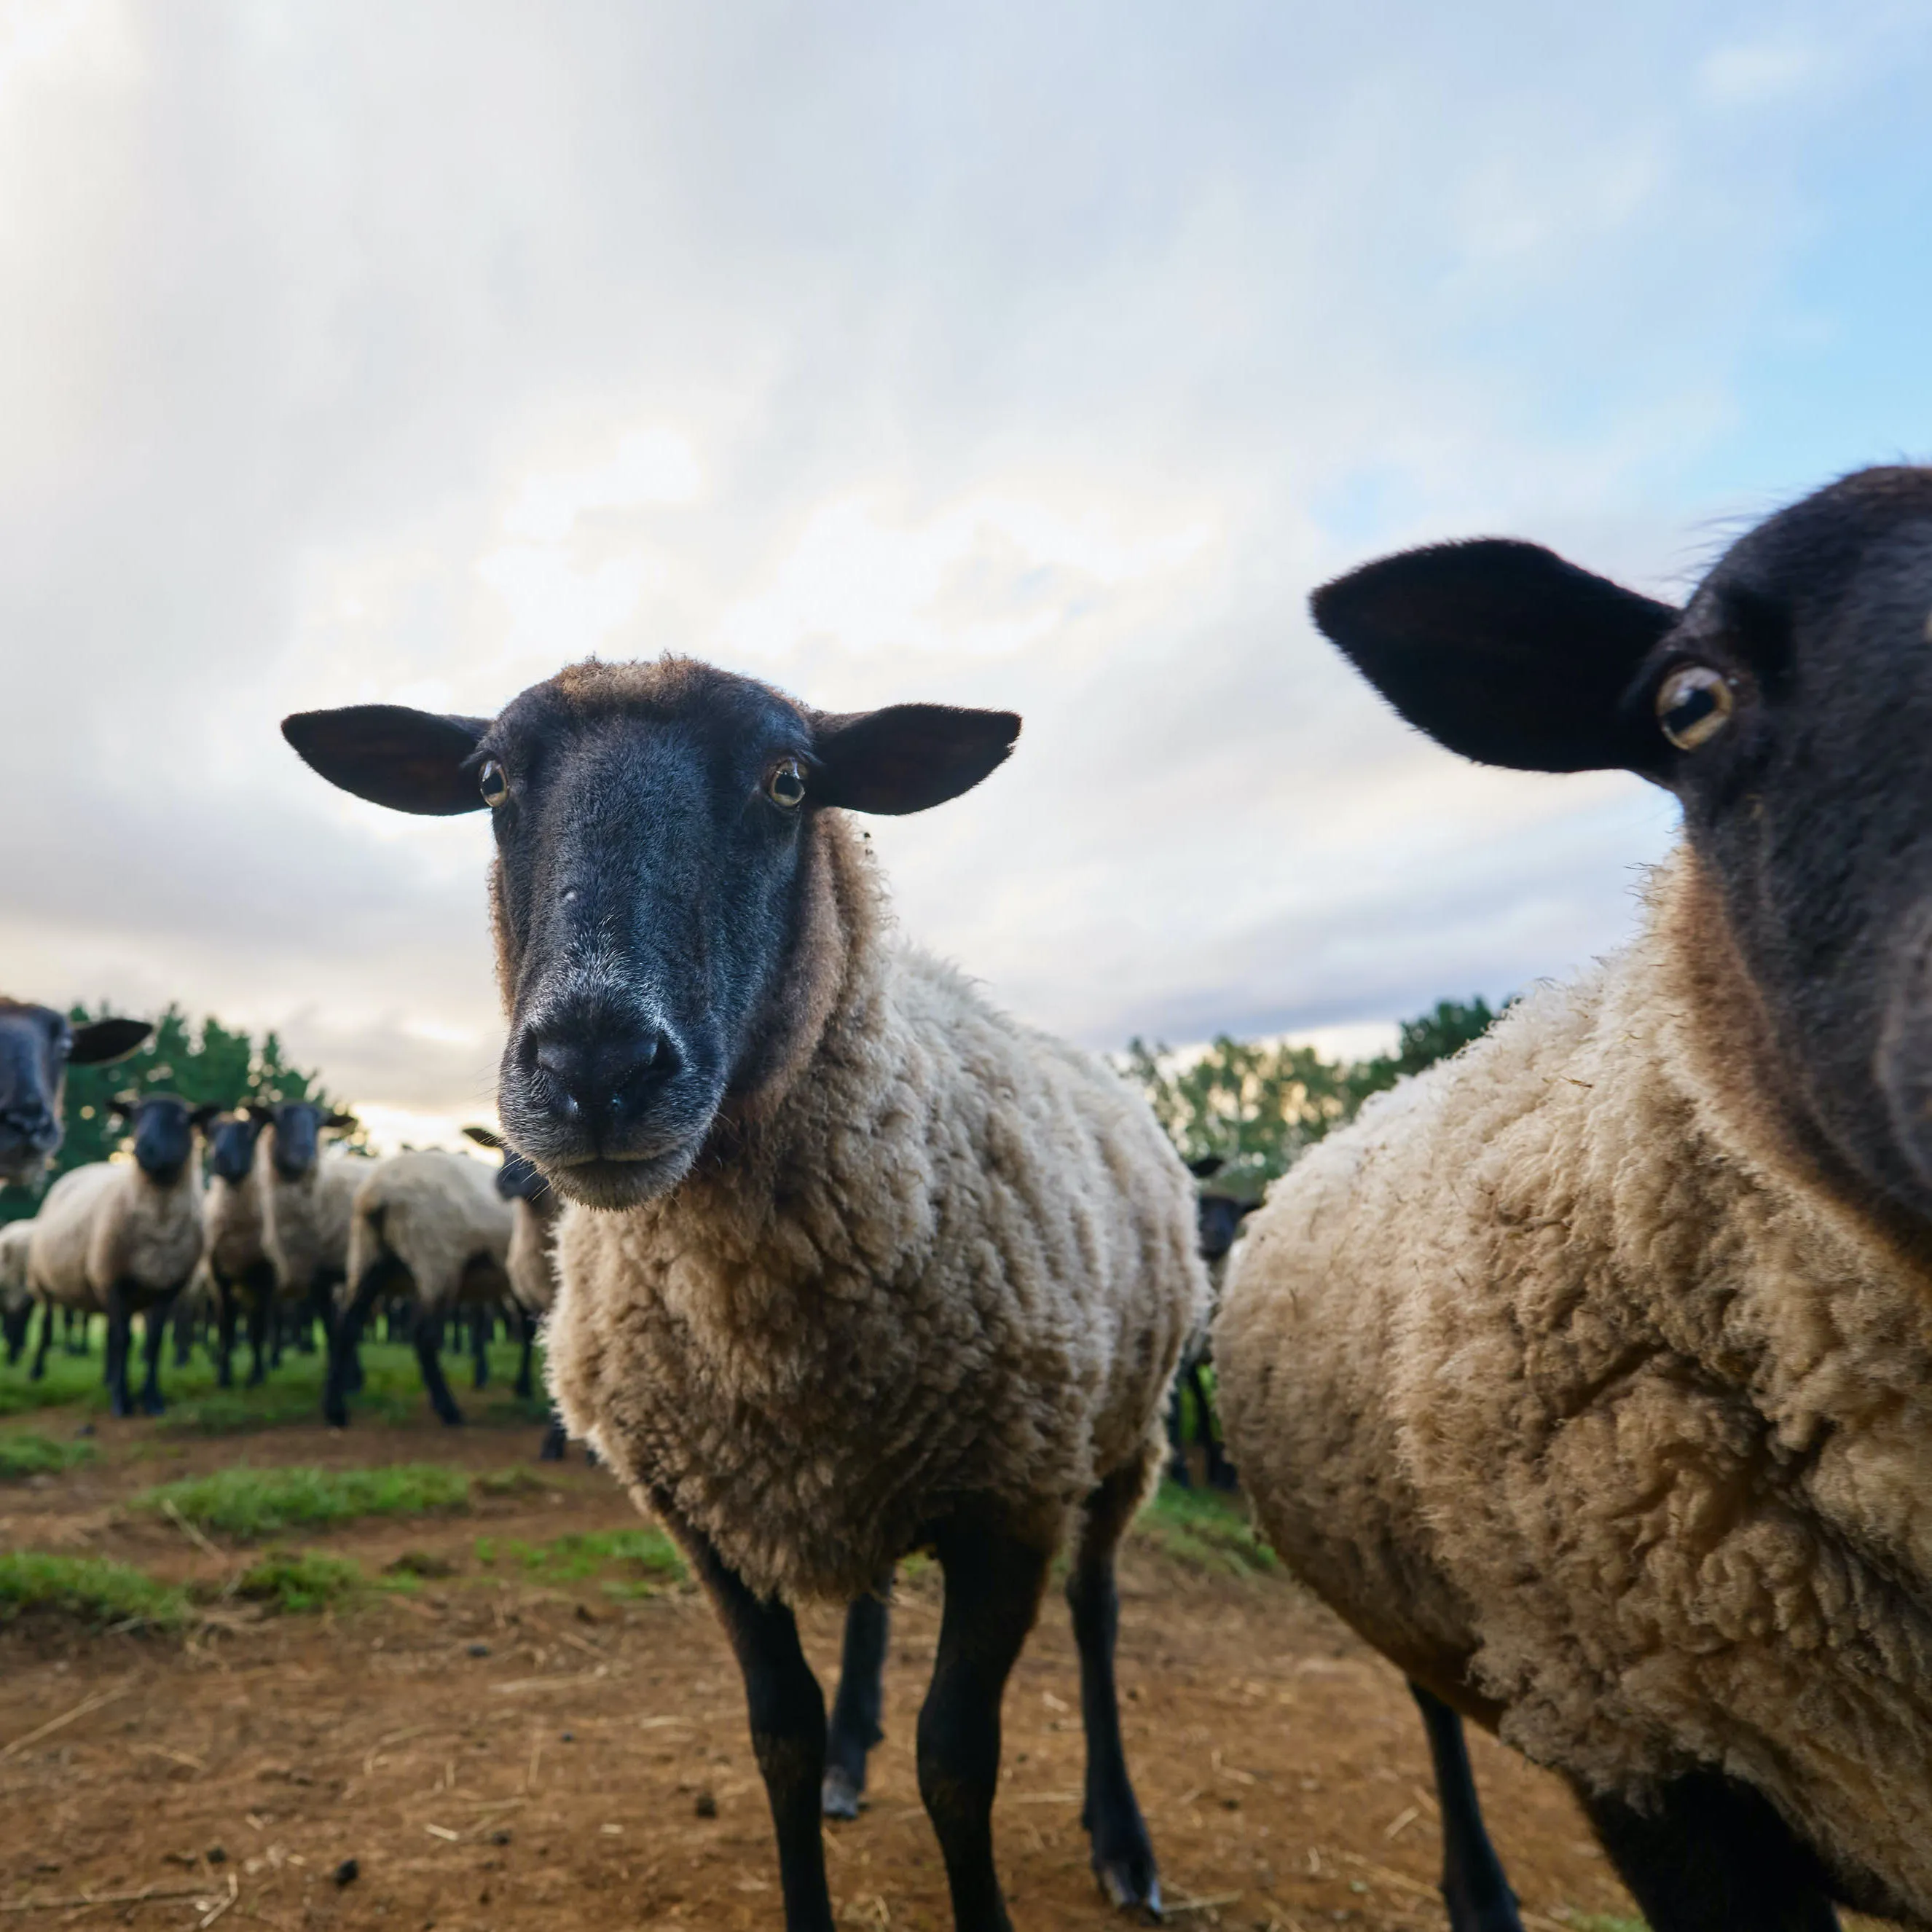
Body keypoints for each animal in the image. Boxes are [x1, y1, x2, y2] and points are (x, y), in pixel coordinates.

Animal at [24, 1097, 214, 1414]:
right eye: (135, 1117)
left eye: (181, 1119)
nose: (144, 1149)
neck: (159, 1225)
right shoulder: (113, 1279)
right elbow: (124, 1339)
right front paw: (122, 1400)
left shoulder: (168, 1287)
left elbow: (152, 1342)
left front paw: (151, 1398)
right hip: (45, 1281)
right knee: (51, 1327)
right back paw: (37, 1372)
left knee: (111, 1334)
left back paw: (107, 1377)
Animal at [328, 1143, 517, 1437]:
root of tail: (377, 1193)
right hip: (435, 1258)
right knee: (424, 1335)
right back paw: (449, 1410)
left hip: (367, 1255)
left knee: (346, 1326)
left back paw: (336, 1411)